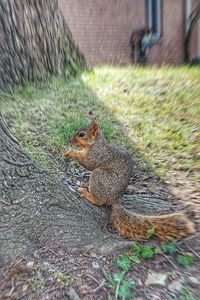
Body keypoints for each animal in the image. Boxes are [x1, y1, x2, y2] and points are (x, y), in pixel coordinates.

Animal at [65, 120, 195, 240]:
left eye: (82, 134)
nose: (70, 140)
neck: (96, 143)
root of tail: (116, 198)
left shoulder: (98, 154)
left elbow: (89, 163)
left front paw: (71, 152)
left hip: (99, 177)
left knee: (100, 201)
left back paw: (87, 193)